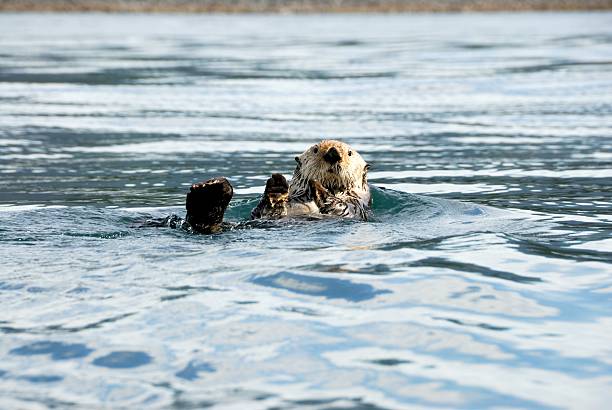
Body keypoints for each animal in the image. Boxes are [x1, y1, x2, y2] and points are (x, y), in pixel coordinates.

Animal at [172, 139, 370, 232]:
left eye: (350, 153)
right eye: (315, 150)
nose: (333, 153)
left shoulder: (357, 206)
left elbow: (342, 208)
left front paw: (318, 186)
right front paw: (277, 185)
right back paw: (210, 192)